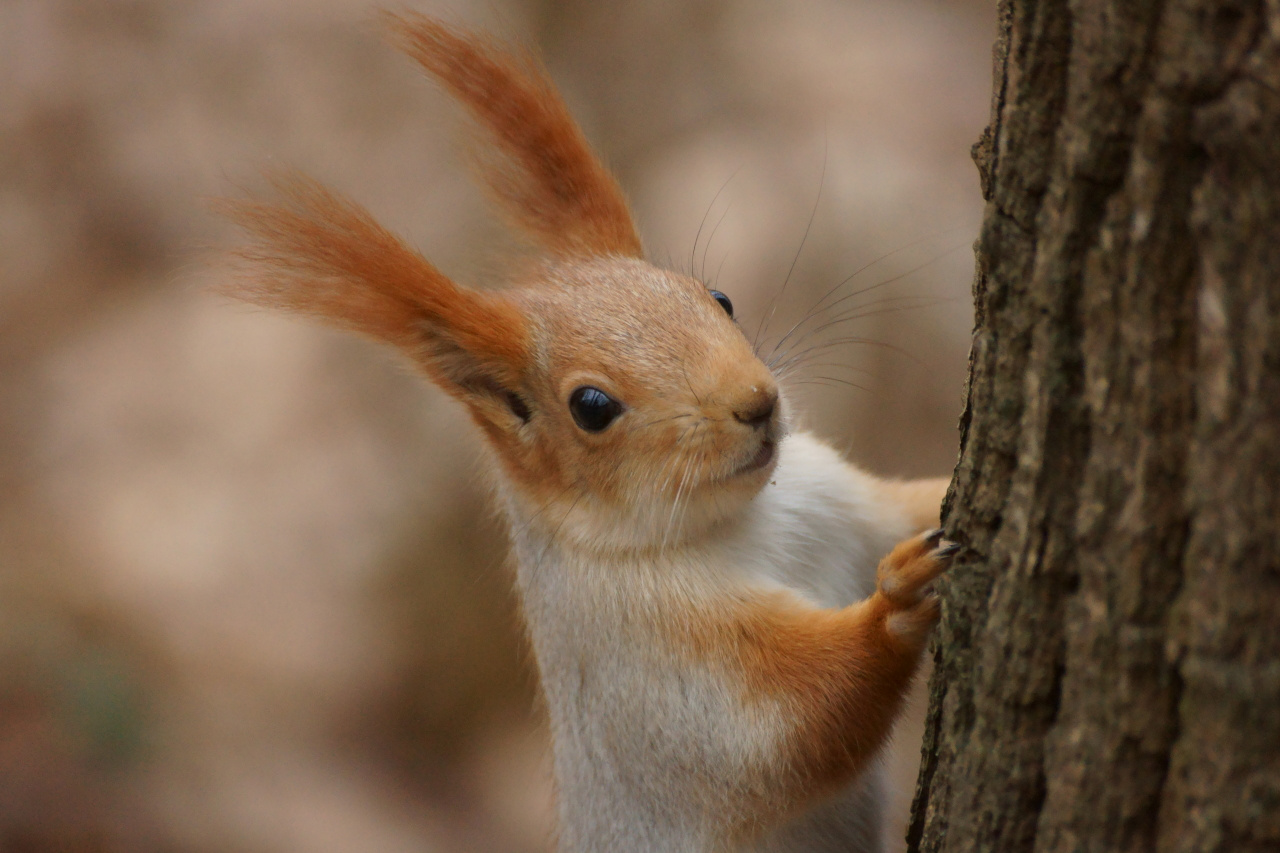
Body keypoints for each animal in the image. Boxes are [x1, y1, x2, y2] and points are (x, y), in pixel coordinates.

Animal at [222, 12, 958, 852]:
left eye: (717, 297)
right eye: (593, 407)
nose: (758, 402)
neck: (745, 515)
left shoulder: (836, 497)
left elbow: (902, 506)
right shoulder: (652, 673)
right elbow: (789, 727)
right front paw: (896, 604)